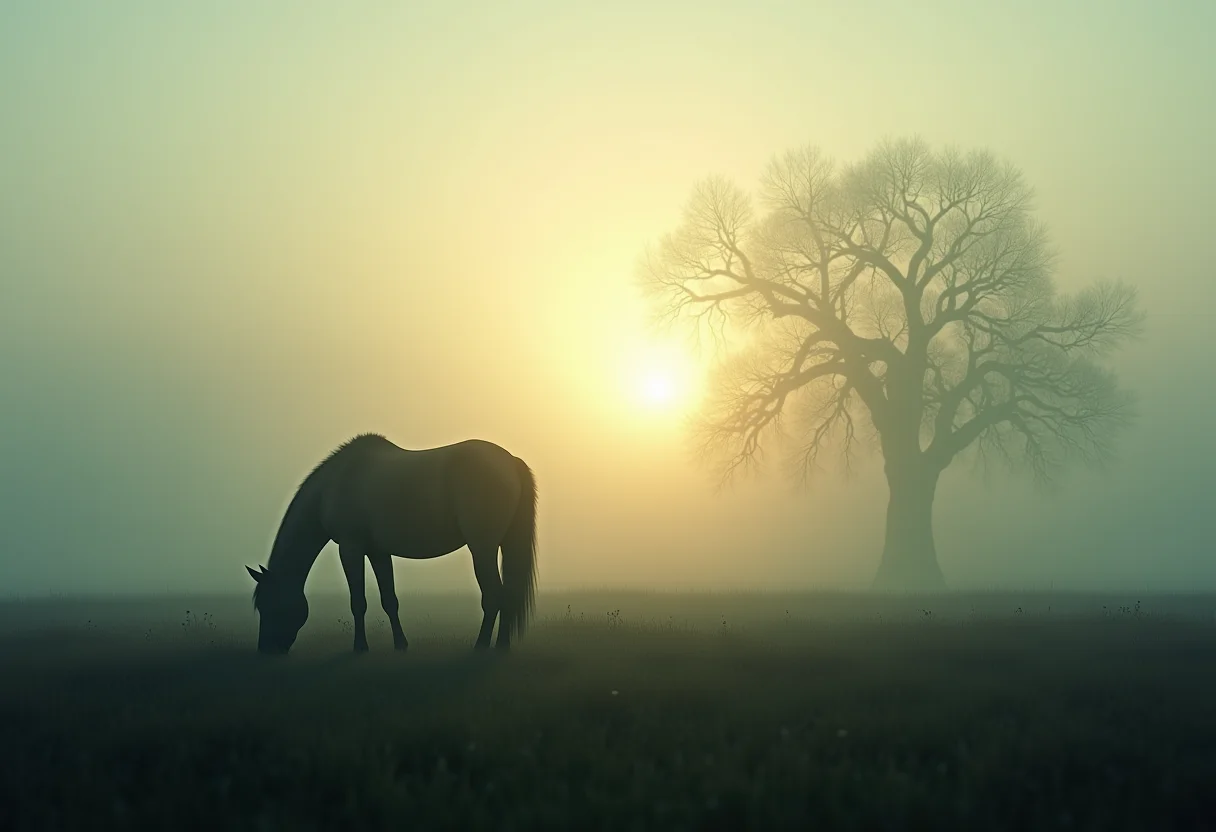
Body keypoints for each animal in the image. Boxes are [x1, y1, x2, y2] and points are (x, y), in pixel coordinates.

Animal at [246, 434, 537, 655]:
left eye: (269, 603)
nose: (266, 650)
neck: (335, 483)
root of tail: (510, 462)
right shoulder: (378, 552)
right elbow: (389, 599)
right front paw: (400, 644)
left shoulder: (350, 549)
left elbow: (358, 602)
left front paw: (360, 647)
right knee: (508, 593)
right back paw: (501, 645)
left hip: (482, 548)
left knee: (494, 595)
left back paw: (482, 646)